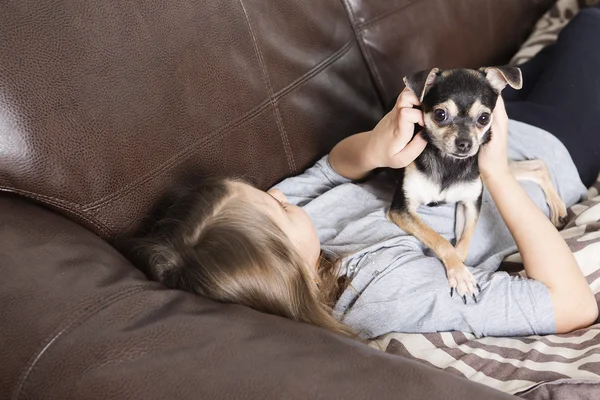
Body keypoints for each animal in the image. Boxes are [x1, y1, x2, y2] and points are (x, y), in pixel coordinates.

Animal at [390, 66, 568, 304]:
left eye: (484, 118)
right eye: (440, 115)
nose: (465, 144)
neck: (449, 163)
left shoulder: (470, 203)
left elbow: (464, 242)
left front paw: (460, 269)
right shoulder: (402, 210)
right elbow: (439, 239)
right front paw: (460, 272)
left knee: (538, 165)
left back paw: (557, 206)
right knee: (537, 165)